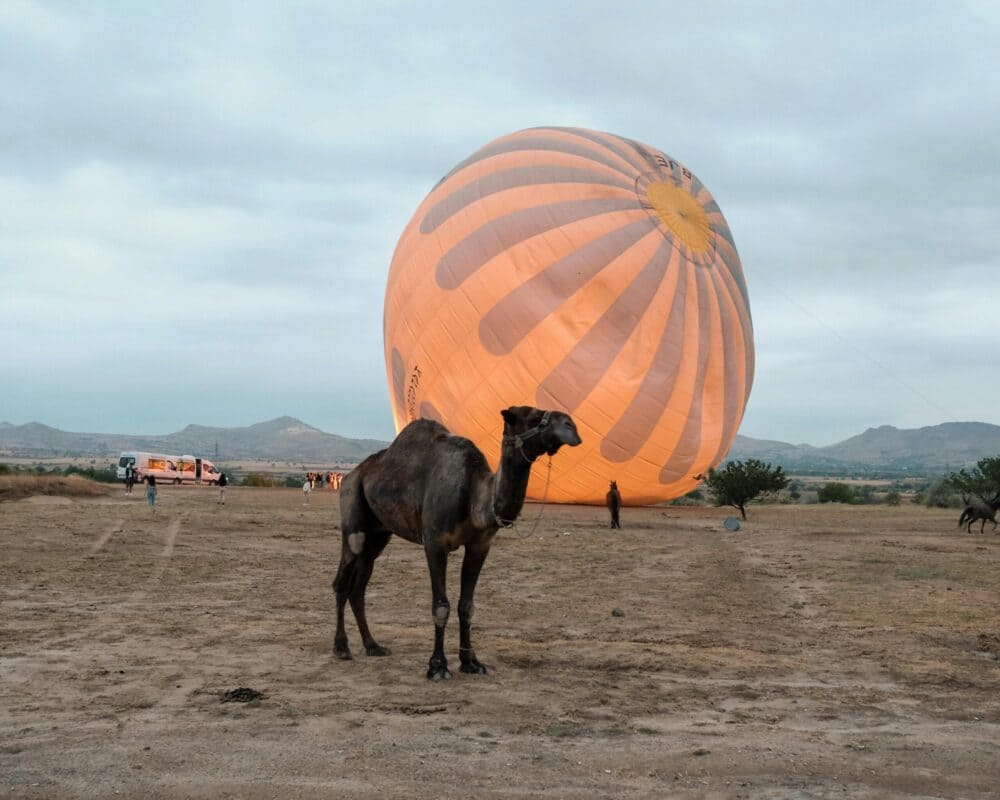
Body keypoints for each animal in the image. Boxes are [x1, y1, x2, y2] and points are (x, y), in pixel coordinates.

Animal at [332, 405, 581, 679]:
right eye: (533, 416)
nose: (571, 426)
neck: (473, 494)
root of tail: (351, 475)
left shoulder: (479, 546)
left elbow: (467, 606)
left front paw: (470, 662)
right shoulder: (435, 544)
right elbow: (441, 605)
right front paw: (438, 666)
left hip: (378, 535)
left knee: (359, 587)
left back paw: (373, 645)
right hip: (353, 515)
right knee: (342, 582)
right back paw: (341, 648)